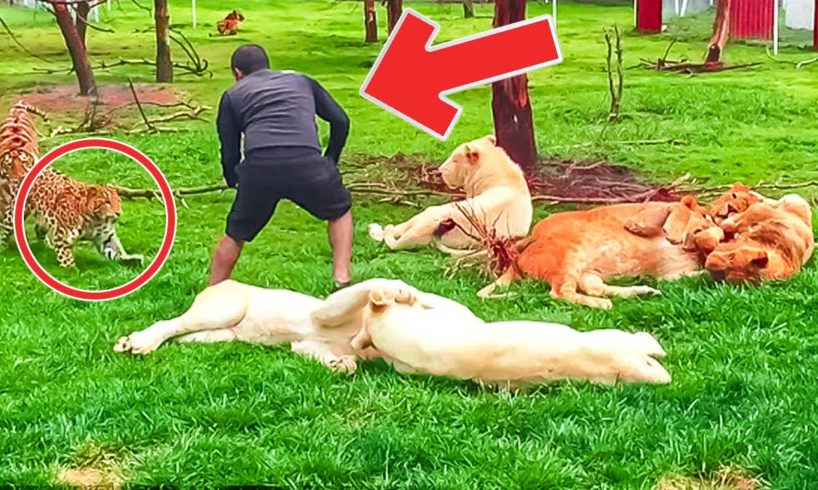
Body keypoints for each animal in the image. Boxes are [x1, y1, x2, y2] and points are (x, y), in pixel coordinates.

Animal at [0, 100, 143, 268]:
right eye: (107, 202)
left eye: (118, 201)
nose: (118, 213)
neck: (95, 220)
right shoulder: (63, 238)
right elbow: (68, 262)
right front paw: (72, 270)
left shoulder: (105, 237)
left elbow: (116, 250)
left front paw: (131, 259)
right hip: (14, 213)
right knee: (5, 229)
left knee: (39, 228)